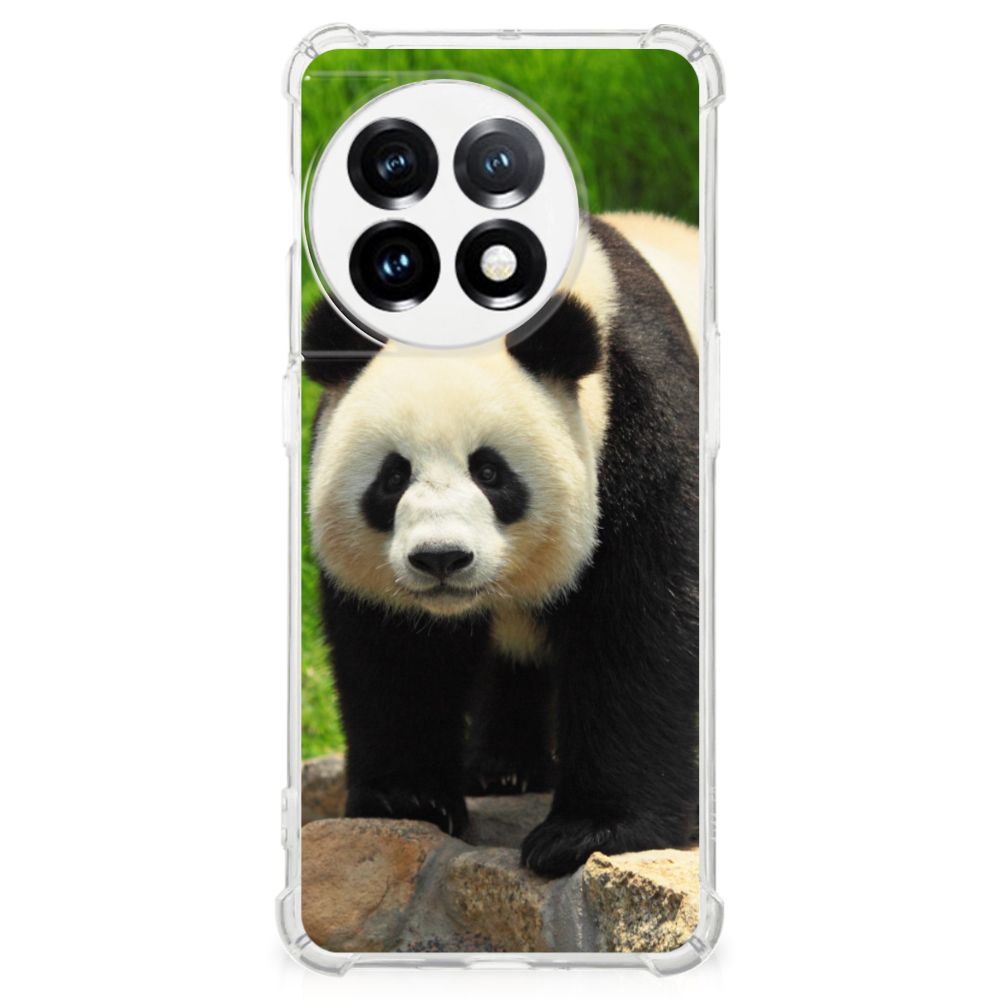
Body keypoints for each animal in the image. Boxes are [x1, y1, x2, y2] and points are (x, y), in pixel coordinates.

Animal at [304, 213, 700, 877]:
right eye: (392, 476)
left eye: (490, 472)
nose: (441, 559)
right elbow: (395, 649)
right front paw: (407, 799)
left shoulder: (641, 424)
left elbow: (641, 625)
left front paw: (588, 832)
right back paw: (503, 770)